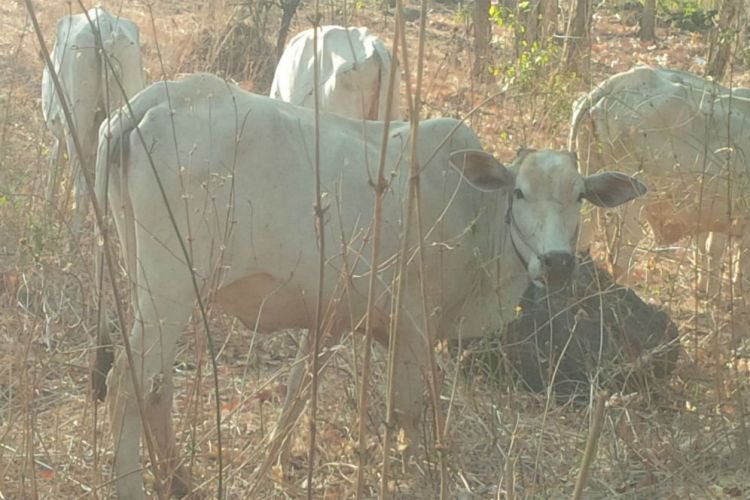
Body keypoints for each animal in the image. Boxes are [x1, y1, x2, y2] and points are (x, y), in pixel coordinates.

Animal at [41, 6, 145, 242]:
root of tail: (103, 26)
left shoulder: (61, 139)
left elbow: (53, 171)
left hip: (76, 125)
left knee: (81, 191)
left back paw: (71, 244)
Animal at [94, 72, 648, 498]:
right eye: (520, 192)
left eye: (580, 196)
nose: (557, 262)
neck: (473, 210)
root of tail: (148, 102)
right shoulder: (416, 325)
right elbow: (409, 410)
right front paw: (416, 474)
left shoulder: (334, 319)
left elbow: (297, 394)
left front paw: (271, 466)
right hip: (169, 287)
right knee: (126, 384)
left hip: (153, 287)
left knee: (156, 386)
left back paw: (178, 479)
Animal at [568, 64, 750, 294]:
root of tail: (616, 84)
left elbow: (714, 251)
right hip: (633, 199)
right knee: (621, 254)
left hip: (590, 176)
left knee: (583, 233)